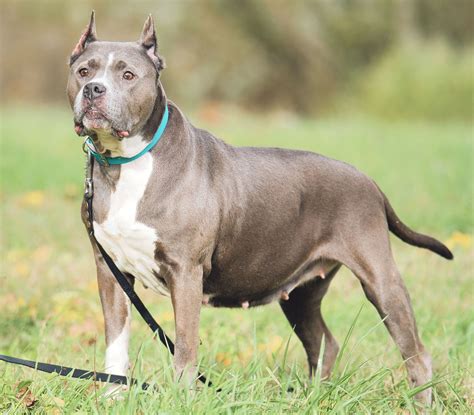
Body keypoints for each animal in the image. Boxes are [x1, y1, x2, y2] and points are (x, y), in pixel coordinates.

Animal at [65, 13, 452, 406]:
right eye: (84, 71)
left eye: (128, 75)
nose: (94, 89)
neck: (128, 163)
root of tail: (369, 181)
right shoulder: (111, 271)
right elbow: (116, 343)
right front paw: (112, 398)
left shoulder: (185, 272)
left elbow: (185, 349)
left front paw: (181, 400)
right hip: (302, 294)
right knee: (324, 342)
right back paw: (311, 398)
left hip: (380, 281)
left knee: (416, 352)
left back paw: (419, 403)